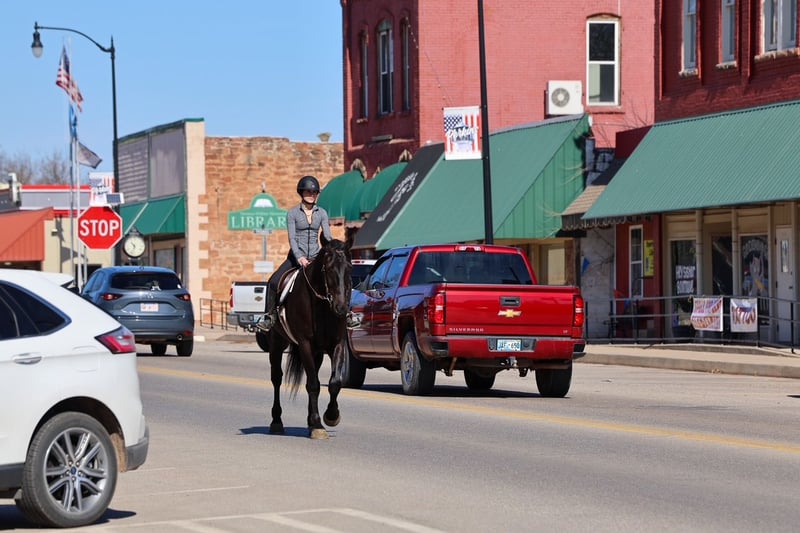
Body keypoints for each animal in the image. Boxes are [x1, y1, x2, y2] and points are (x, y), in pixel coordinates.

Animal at [265, 238, 352, 439]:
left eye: (350, 268)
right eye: (328, 268)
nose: (341, 308)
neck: (322, 305)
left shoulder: (337, 344)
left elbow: (334, 383)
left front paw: (330, 416)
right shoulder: (305, 344)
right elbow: (313, 385)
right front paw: (318, 424)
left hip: (317, 352)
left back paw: (310, 421)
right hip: (276, 343)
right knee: (277, 378)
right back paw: (277, 421)